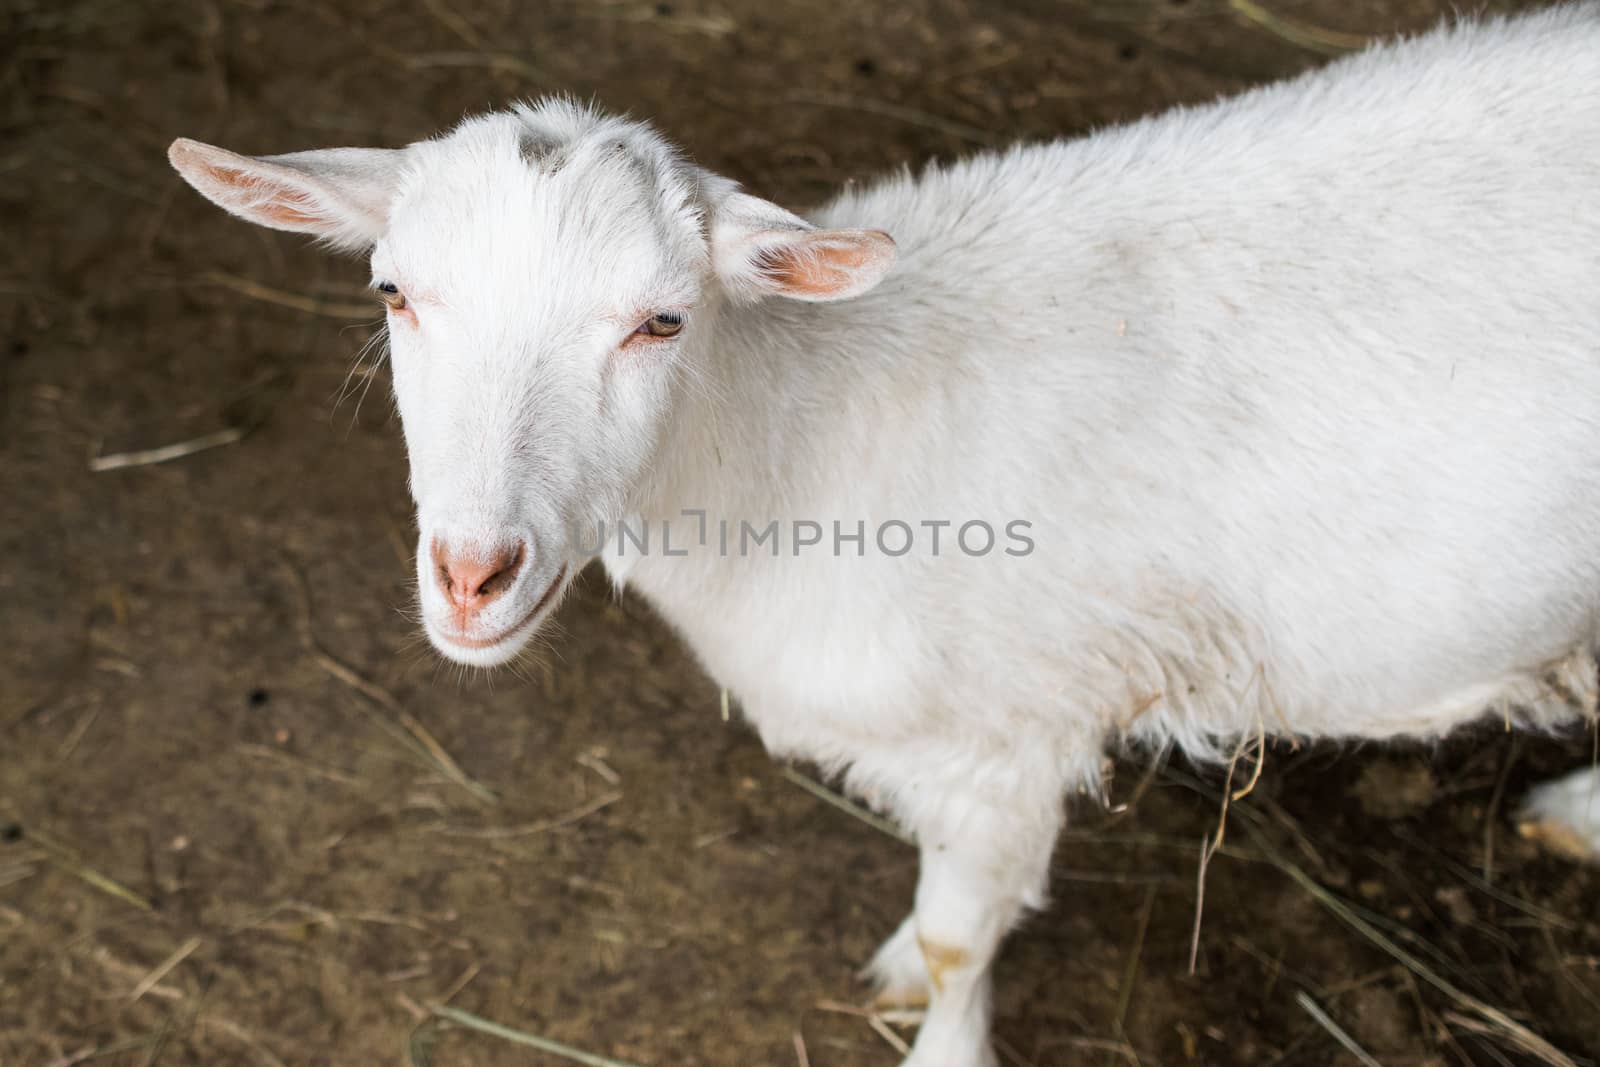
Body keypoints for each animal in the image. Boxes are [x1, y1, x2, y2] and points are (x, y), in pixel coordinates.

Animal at [172, 4, 1600, 1062]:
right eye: (393, 292)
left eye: (661, 321)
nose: (472, 575)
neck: (796, 435)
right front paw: (904, 959)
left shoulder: (1011, 732)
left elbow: (971, 933)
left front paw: (941, 1023)